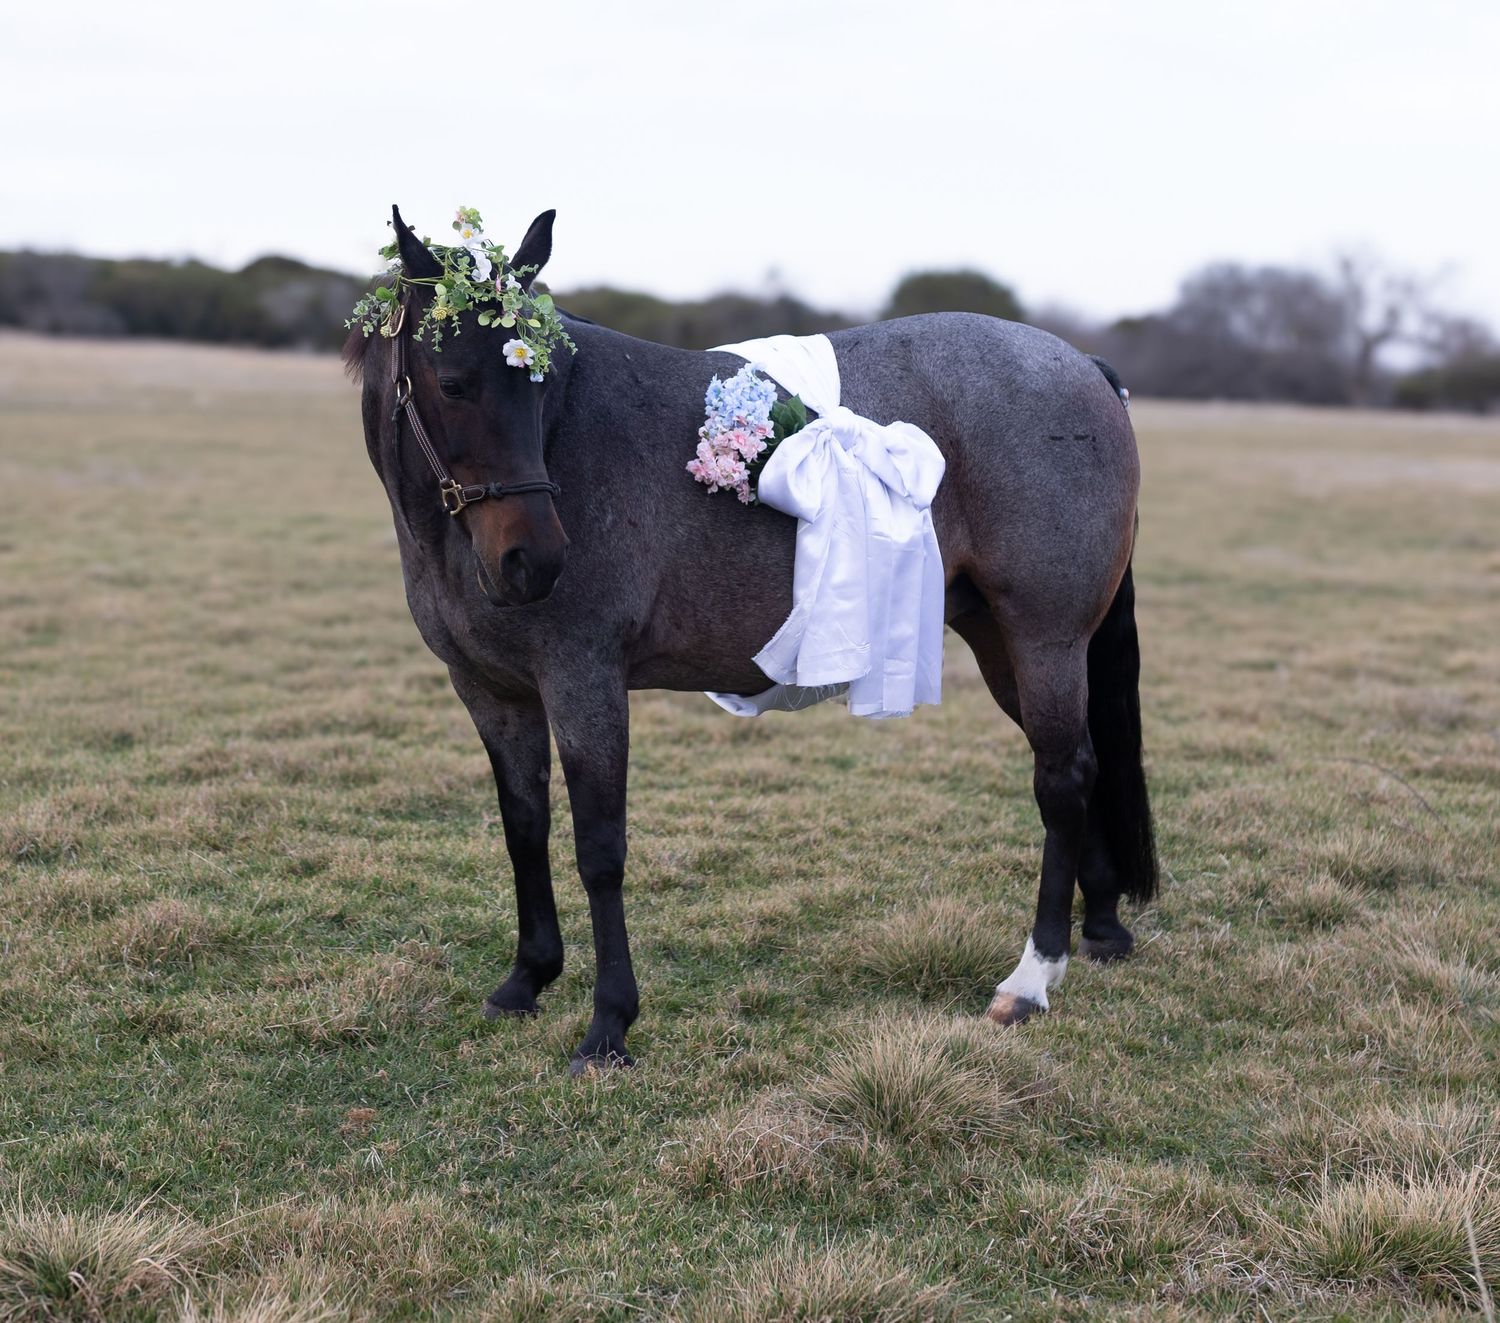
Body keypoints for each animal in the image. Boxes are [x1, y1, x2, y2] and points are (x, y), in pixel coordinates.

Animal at [345, 206, 1157, 1074]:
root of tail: (1080, 367)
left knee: (1063, 780)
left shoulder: (583, 681)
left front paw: (608, 1024)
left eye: (539, 382)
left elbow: (600, 848)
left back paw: (1032, 978)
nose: (533, 559)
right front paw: (527, 977)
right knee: (1081, 763)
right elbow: (524, 829)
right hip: (1005, 642)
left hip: (1044, 638)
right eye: (454, 383)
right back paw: (1098, 930)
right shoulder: (493, 694)